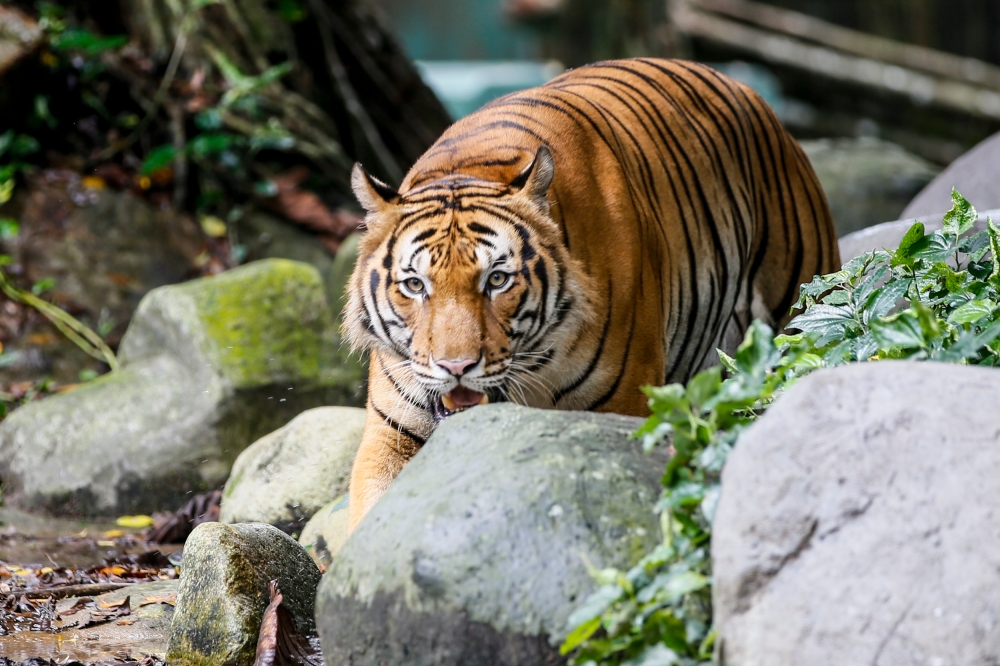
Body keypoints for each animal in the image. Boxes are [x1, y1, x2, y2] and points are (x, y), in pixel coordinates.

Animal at [343, 58, 839, 530]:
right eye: (415, 285)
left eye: (497, 280)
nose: (456, 368)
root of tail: (750, 92)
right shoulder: (391, 433)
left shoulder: (626, 407)